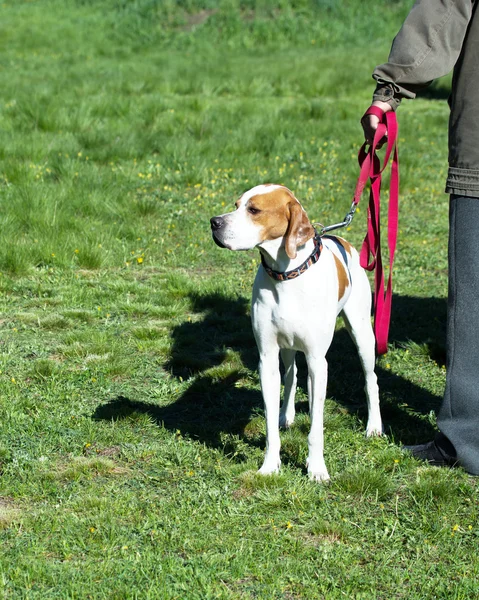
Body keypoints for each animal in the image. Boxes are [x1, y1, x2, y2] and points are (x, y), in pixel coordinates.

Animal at [210, 185, 382, 480]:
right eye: (236, 205)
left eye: (254, 209)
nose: (214, 222)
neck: (285, 275)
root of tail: (339, 238)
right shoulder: (267, 357)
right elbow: (270, 423)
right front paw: (270, 465)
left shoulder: (317, 360)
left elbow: (316, 428)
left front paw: (317, 469)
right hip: (287, 349)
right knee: (291, 377)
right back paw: (286, 415)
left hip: (362, 336)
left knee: (371, 380)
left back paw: (373, 427)